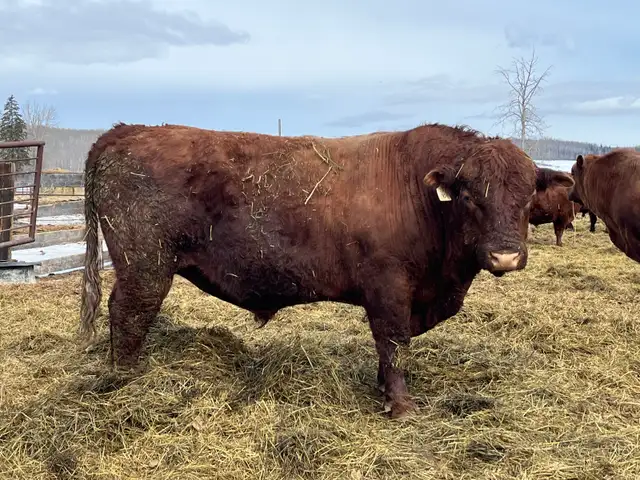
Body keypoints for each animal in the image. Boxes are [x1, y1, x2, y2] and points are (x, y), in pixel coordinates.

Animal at [79, 122, 538, 419]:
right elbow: (393, 341)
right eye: (469, 196)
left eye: (529, 196)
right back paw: (126, 379)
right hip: (146, 266)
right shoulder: (389, 287)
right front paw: (402, 406)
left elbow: (388, 349)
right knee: (128, 312)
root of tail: (124, 130)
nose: (504, 256)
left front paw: (382, 390)